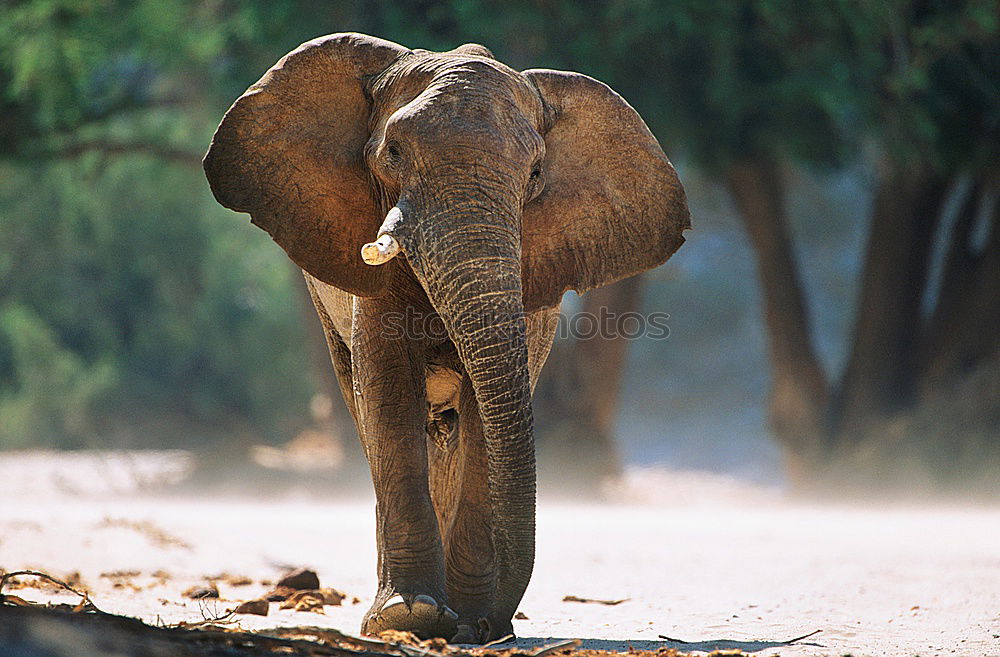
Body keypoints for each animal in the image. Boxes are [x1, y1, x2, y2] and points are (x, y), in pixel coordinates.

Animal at [203, 33, 688, 644]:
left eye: (535, 173)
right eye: (392, 153)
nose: (492, 622)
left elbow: (488, 413)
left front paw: (469, 622)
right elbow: (387, 394)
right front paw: (410, 616)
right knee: (368, 410)